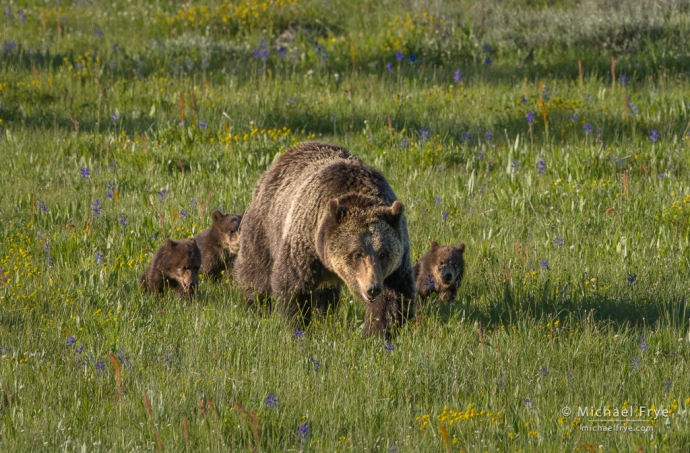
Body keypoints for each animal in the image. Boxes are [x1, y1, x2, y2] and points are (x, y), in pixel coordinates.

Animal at [231, 141, 414, 336]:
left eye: (383, 254)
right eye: (357, 254)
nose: (372, 288)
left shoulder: (398, 259)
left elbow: (394, 297)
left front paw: (377, 332)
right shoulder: (306, 241)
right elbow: (293, 284)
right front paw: (299, 326)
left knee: (326, 293)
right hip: (265, 224)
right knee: (255, 269)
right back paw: (256, 306)